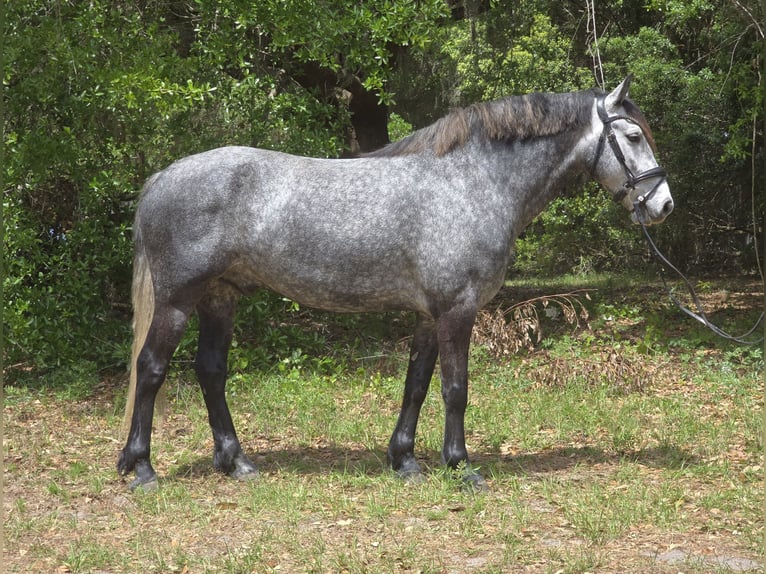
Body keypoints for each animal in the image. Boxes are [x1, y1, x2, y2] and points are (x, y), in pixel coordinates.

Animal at [118, 76, 673, 491]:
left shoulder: (429, 314)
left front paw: (404, 460)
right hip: (177, 301)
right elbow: (455, 388)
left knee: (210, 371)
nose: (663, 204)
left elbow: (416, 386)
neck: (470, 183)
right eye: (633, 137)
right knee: (151, 369)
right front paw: (460, 465)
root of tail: (162, 177)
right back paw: (141, 467)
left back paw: (236, 462)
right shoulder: (457, 310)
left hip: (220, 297)